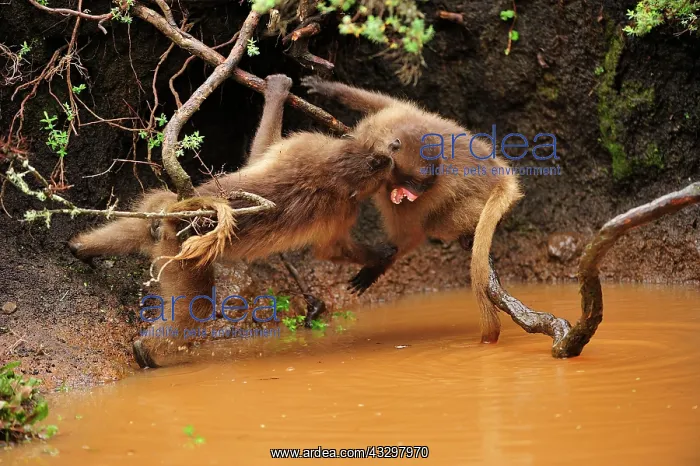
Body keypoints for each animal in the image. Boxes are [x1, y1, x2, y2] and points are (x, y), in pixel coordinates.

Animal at [67, 74, 399, 367]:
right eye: (381, 166)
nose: (391, 157)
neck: (333, 170)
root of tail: (183, 211)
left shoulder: (306, 148)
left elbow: (260, 157)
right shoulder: (335, 192)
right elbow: (330, 250)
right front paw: (381, 260)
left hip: (162, 223)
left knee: (140, 232)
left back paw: (80, 250)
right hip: (182, 250)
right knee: (197, 305)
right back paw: (146, 354)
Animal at [300, 76, 524, 344]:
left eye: (423, 185)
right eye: (415, 182)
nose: (414, 193)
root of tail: (501, 175)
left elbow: (411, 234)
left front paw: (376, 267)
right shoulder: (396, 119)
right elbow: (381, 102)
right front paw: (327, 88)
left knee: (436, 221)